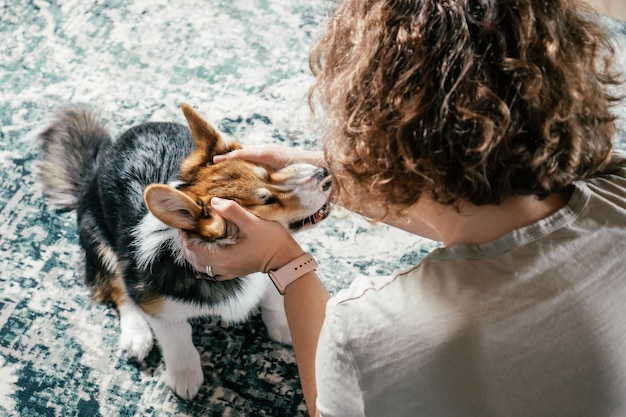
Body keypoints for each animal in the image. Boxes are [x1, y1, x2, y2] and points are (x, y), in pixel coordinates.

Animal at [36, 102, 330, 398]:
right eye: (267, 200)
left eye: (267, 169)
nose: (325, 174)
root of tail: (92, 175)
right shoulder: (157, 305)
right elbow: (178, 339)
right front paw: (185, 377)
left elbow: (271, 297)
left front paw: (284, 326)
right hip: (99, 242)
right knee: (118, 289)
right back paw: (136, 334)